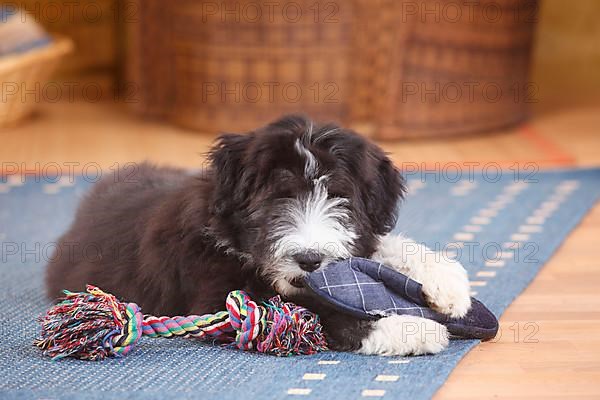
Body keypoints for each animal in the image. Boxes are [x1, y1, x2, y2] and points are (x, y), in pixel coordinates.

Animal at [45, 115, 474, 356]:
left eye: (339, 197)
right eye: (279, 197)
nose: (310, 260)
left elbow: (382, 244)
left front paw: (448, 284)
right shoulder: (214, 297)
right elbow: (312, 312)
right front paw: (410, 329)